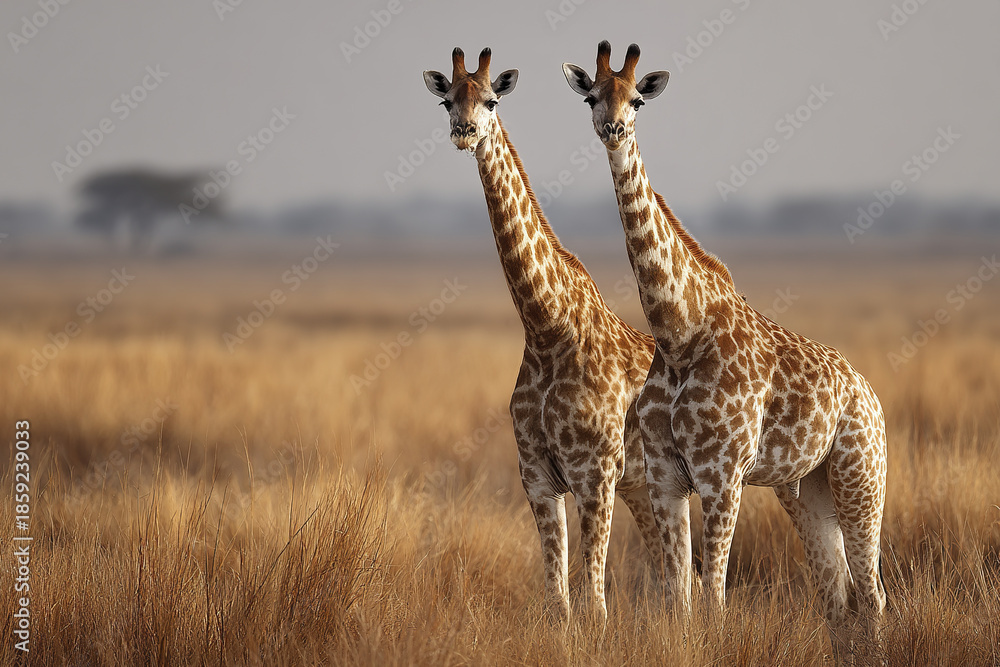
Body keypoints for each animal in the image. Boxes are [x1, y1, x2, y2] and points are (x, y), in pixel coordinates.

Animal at [423, 46, 664, 624]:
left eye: (491, 100)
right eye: (447, 100)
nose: (465, 131)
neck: (547, 327)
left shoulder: (594, 473)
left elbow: (594, 599)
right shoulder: (536, 475)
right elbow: (558, 598)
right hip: (643, 487)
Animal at [563, 41, 887, 652]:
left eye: (638, 98)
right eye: (592, 96)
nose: (613, 128)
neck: (679, 331)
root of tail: (870, 395)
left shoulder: (722, 472)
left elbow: (714, 596)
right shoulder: (665, 475)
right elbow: (680, 597)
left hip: (862, 475)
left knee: (873, 593)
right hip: (805, 488)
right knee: (837, 594)